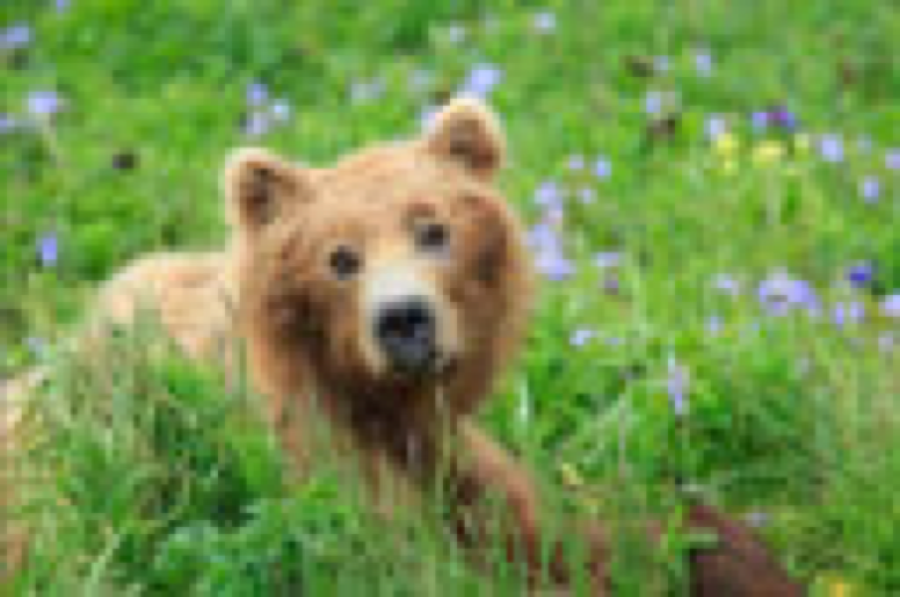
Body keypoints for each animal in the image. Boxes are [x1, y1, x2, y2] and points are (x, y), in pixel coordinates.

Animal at [2, 98, 804, 595]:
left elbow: (563, 527)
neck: (376, 396)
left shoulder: (443, 451)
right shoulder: (307, 454)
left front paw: (729, 548)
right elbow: (418, 562)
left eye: (434, 228)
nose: (404, 320)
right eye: (339, 257)